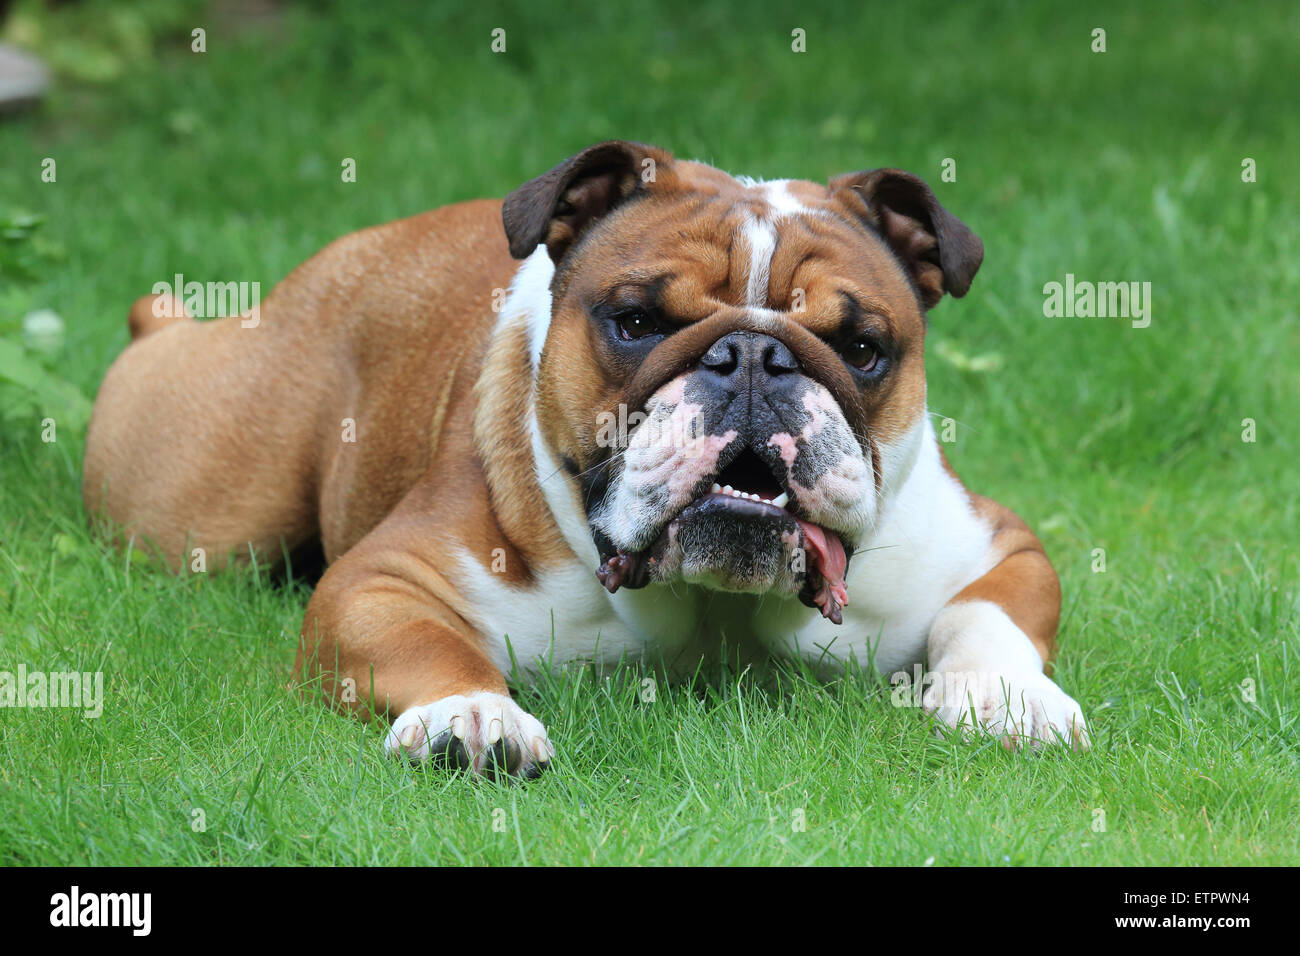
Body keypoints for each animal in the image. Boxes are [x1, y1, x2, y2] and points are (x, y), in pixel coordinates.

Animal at [83, 143, 1086, 785]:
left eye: (863, 347)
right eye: (635, 320)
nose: (754, 360)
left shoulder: (994, 547)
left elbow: (986, 615)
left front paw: (1010, 699)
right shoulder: (381, 580)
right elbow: (427, 643)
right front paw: (469, 716)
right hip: (205, 513)